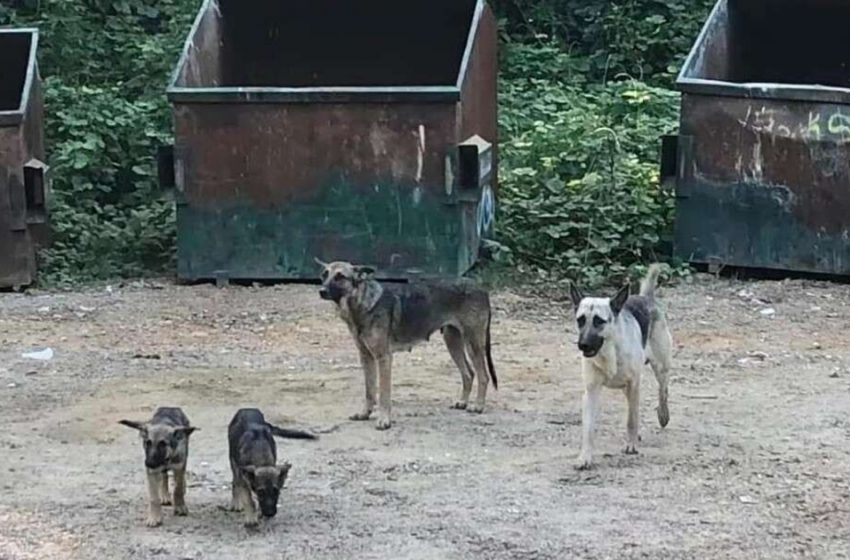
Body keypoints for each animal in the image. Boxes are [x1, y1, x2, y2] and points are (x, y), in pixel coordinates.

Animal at [314, 260, 494, 430]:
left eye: (340, 277)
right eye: (324, 275)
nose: (321, 291)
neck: (363, 303)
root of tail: (481, 288)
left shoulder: (384, 358)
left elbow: (384, 394)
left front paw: (384, 420)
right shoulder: (366, 357)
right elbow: (369, 391)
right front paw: (365, 414)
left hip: (473, 344)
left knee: (483, 376)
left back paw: (478, 406)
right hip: (452, 342)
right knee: (469, 373)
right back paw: (462, 402)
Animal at [568, 264, 668, 470]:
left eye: (599, 321)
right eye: (580, 320)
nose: (582, 345)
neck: (609, 351)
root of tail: (646, 297)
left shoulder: (634, 384)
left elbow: (631, 418)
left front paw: (631, 445)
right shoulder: (591, 391)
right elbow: (588, 429)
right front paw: (585, 457)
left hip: (661, 368)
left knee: (663, 391)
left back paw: (663, 415)